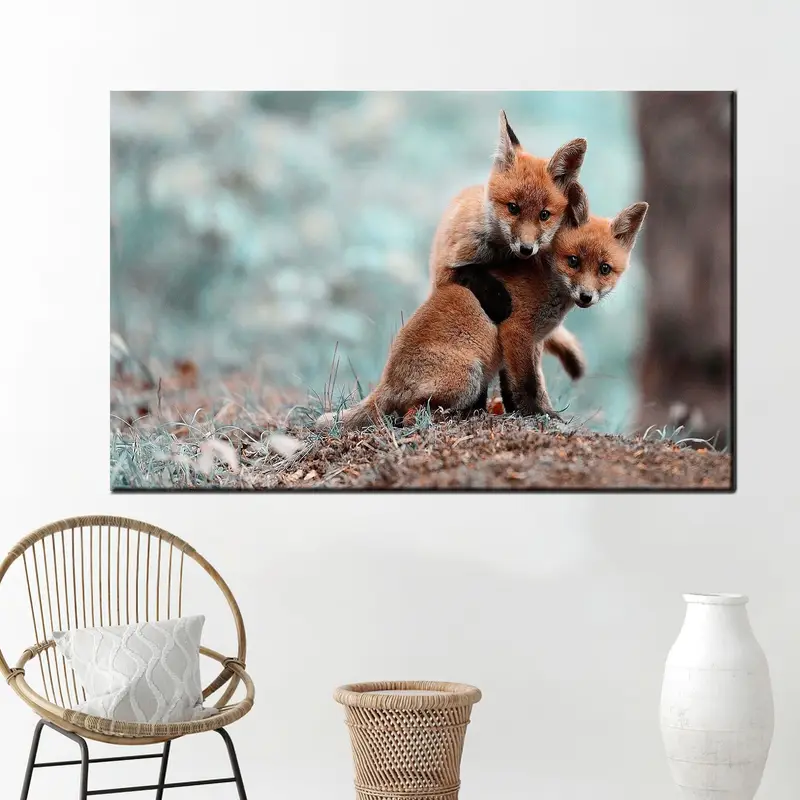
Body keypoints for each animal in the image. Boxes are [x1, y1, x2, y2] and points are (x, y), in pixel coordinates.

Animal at [315, 184, 647, 432]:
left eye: (604, 269)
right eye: (573, 261)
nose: (586, 296)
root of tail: (388, 379)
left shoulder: (532, 343)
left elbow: (522, 386)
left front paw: (530, 412)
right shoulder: (516, 332)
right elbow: (527, 386)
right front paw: (538, 415)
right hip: (468, 377)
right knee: (408, 415)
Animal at [429, 110, 589, 380]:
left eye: (544, 215)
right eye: (513, 208)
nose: (526, 249)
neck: (498, 255)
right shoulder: (447, 269)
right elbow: (470, 272)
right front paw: (498, 298)